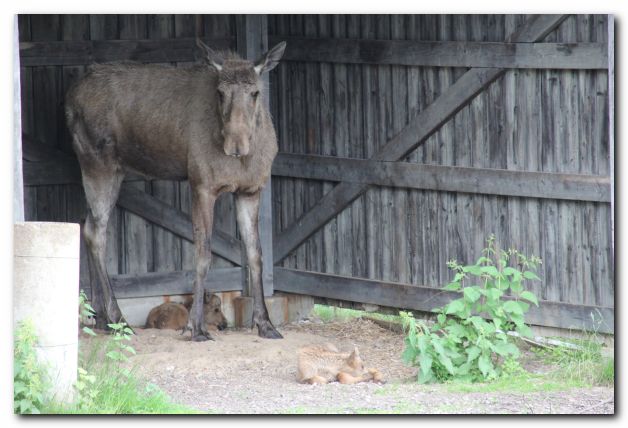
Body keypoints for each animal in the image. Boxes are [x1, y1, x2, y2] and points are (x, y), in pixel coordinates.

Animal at [65, 40, 288, 342]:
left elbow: (256, 255)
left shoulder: (250, 190)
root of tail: (69, 99)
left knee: (84, 222)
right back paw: (117, 317)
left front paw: (266, 324)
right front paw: (196, 327)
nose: (236, 145)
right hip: (100, 164)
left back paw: (101, 318)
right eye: (220, 93)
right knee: (96, 231)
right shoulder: (202, 184)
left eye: (255, 92)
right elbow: (203, 254)